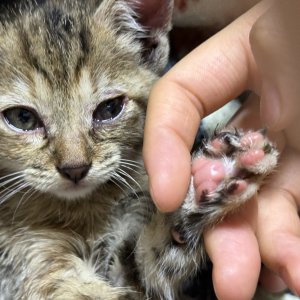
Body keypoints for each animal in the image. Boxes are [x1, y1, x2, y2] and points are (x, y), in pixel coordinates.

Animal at [0, 0, 278, 300]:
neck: (84, 208)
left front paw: (212, 176)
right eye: (22, 118)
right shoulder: (30, 266)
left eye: (109, 109)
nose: (75, 169)